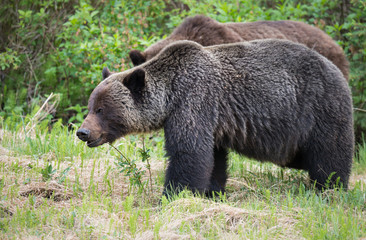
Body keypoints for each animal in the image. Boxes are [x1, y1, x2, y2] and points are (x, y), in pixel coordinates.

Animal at [77, 39, 354, 197]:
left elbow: (188, 153)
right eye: (90, 106)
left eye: (102, 109)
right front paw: (212, 192)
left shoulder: (194, 101)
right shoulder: (213, 121)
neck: (170, 95)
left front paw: (174, 195)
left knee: (329, 155)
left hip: (320, 109)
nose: (82, 132)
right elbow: (213, 159)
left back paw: (330, 189)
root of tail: (338, 69)